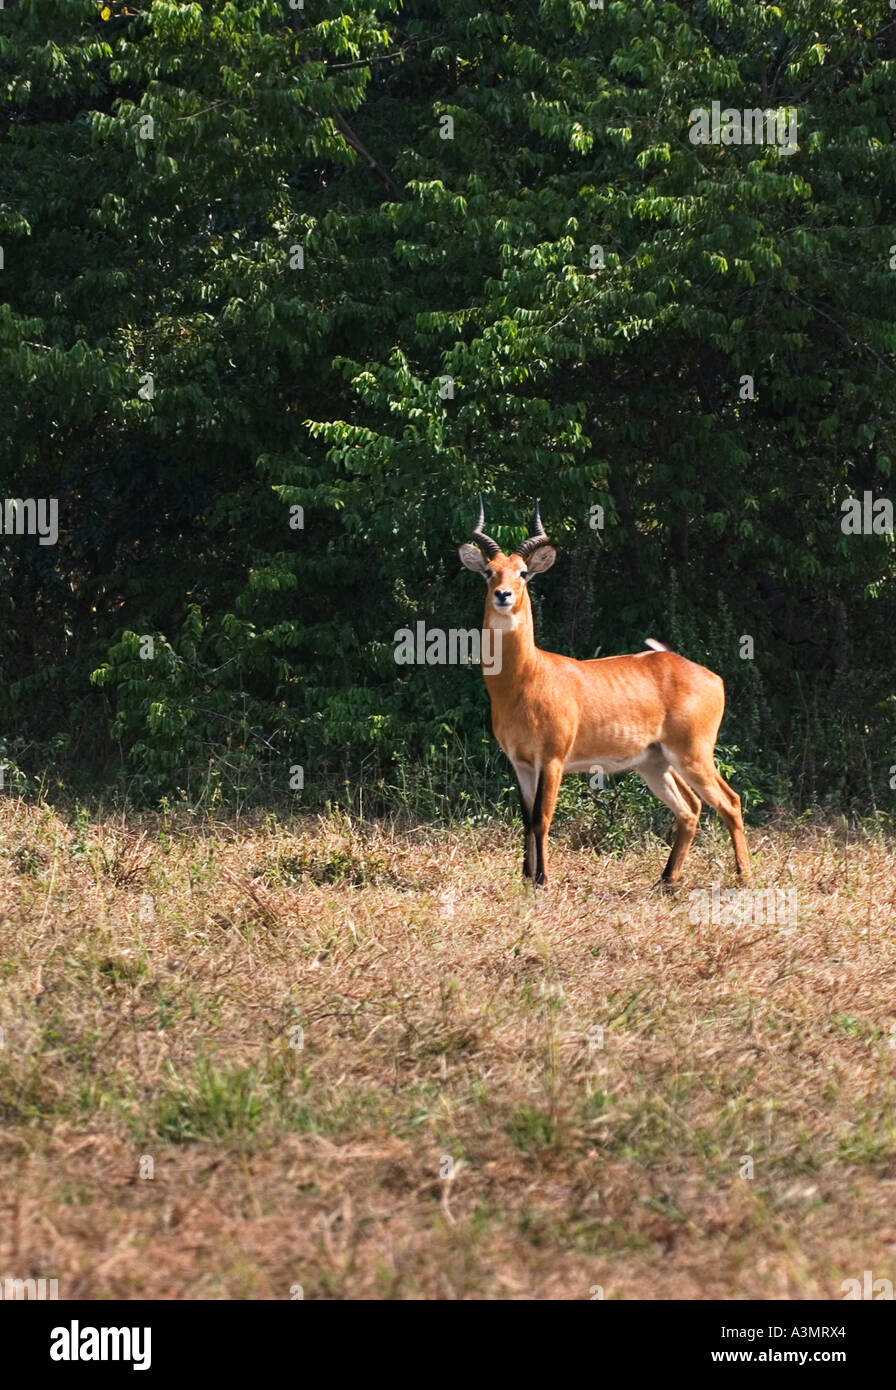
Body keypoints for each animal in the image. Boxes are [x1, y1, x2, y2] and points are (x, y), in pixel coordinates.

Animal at [458, 500, 750, 889]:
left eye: (523, 573)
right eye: (489, 572)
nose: (502, 595)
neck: (526, 679)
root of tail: (712, 677)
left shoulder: (552, 759)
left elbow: (542, 818)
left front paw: (542, 880)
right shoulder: (520, 762)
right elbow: (525, 819)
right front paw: (525, 878)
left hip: (693, 753)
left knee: (730, 801)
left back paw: (744, 876)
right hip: (655, 762)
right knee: (690, 808)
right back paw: (665, 881)